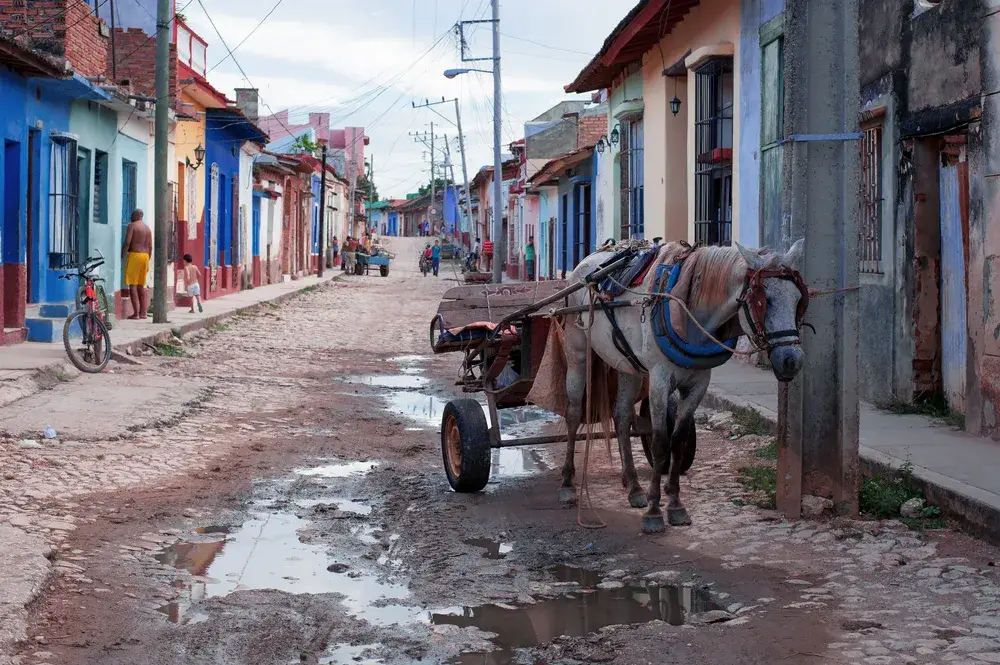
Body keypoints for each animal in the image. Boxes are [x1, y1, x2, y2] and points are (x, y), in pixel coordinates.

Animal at [560, 241, 808, 532]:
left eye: (798, 300)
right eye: (764, 301)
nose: (791, 360)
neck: (688, 312)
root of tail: (588, 261)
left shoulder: (698, 384)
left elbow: (677, 440)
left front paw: (675, 505)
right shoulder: (658, 381)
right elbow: (659, 442)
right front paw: (655, 512)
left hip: (627, 365)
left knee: (621, 416)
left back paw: (633, 487)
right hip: (577, 352)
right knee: (574, 413)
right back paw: (567, 483)